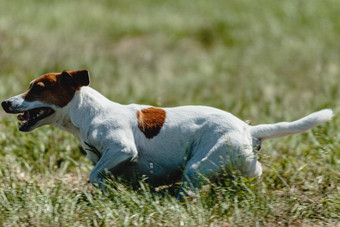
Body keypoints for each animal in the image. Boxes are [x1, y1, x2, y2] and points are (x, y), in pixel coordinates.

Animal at [1, 69, 334, 199]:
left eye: (37, 88)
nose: (6, 102)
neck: (88, 113)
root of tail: (247, 128)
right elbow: (108, 175)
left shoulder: (122, 149)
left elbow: (95, 175)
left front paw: (110, 190)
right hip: (237, 163)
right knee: (253, 172)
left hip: (198, 164)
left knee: (189, 187)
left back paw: (175, 195)